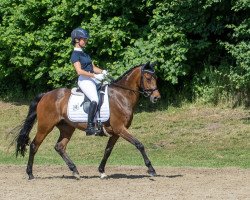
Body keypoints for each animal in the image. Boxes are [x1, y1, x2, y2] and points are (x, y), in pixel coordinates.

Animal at [13, 61, 161, 180]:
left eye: (156, 78)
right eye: (148, 78)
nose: (156, 97)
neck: (122, 95)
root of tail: (45, 95)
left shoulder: (115, 132)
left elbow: (108, 150)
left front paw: (101, 171)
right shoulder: (120, 128)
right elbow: (139, 144)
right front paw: (151, 169)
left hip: (67, 128)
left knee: (60, 147)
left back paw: (75, 171)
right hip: (45, 126)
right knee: (34, 145)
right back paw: (30, 174)